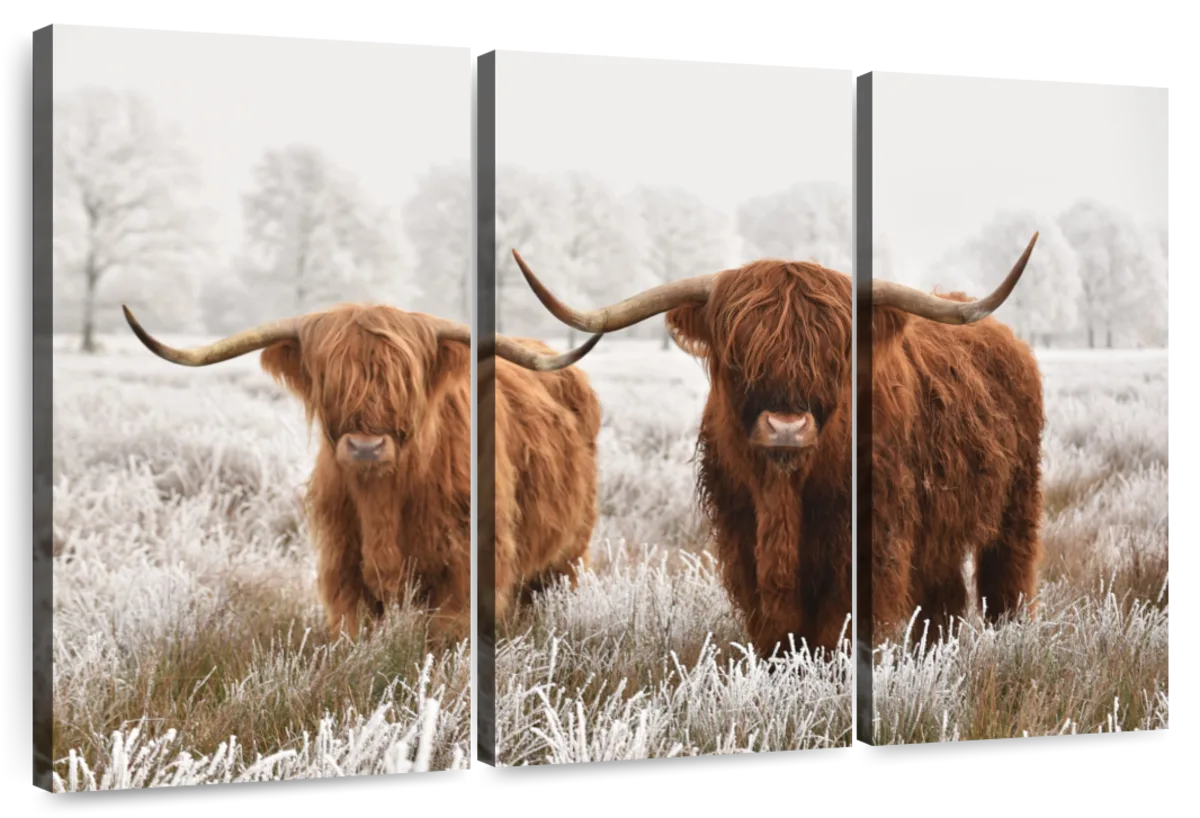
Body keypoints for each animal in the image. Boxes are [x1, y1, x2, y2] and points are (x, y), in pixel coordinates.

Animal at [122, 303, 603, 646]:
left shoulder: (467, 569)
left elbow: (446, 636)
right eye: (329, 380)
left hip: (569, 553)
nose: (366, 446)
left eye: (405, 380)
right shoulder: (342, 565)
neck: (383, 500)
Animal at [509, 234, 1043, 658]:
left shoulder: (870, 542)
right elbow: (776, 631)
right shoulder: (743, 537)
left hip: (1017, 504)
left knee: (1006, 580)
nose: (786, 427)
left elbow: (836, 628)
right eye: (737, 352)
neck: (784, 494)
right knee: (944, 597)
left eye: (835, 354)